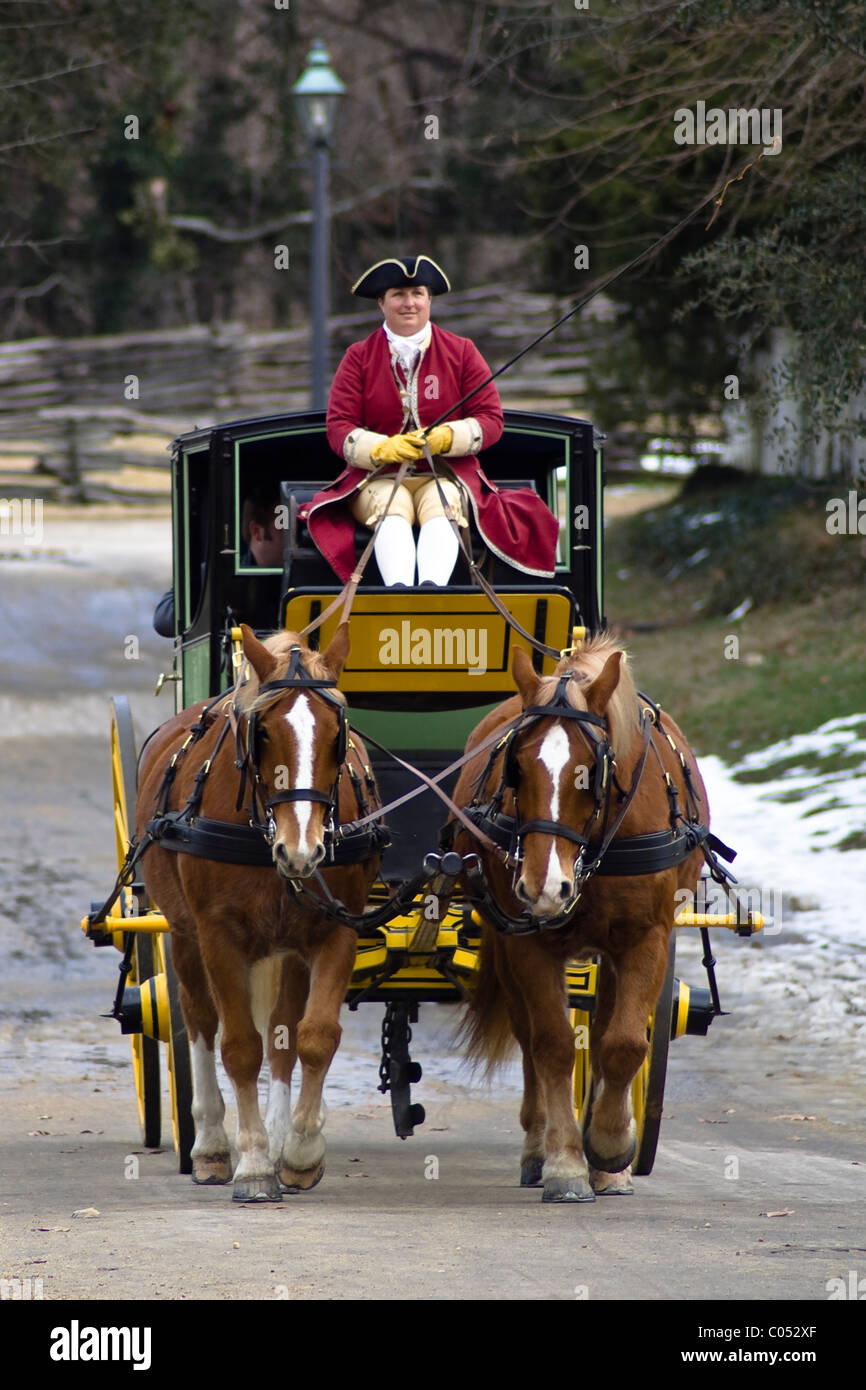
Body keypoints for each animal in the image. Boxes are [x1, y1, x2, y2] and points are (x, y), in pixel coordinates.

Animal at [135, 625, 378, 1200]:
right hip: (183, 933)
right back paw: (210, 1146)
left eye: (338, 736)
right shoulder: (217, 935)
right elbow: (240, 1046)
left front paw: (300, 1151)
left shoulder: (336, 929)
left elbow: (314, 1037)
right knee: (200, 1020)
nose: (302, 851)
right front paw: (251, 1164)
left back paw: (277, 1133)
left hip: (286, 947)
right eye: (262, 732)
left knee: (283, 1036)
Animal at [453, 636, 711, 1200]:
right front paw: (566, 1162)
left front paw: (611, 1147)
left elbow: (624, 1043)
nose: (543, 888)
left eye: (589, 772)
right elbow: (551, 1045)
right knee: (529, 1037)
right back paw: (538, 1146)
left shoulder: (647, 938)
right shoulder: (526, 942)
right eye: (516, 766)